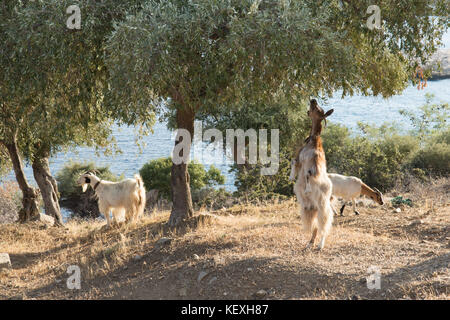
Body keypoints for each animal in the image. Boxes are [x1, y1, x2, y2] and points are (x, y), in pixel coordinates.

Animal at [288, 99, 334, 250]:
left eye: (319, 109)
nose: (313, 100)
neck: (314, 140)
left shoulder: (312, 164)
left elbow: (307, 173)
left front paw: (306, 187)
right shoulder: (301, 160)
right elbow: (295, 162)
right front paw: (292, 177)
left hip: (322, 206)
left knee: (324, 224)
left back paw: (320, 245)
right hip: (310, 209)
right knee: (315, 227)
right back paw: (310, 243)